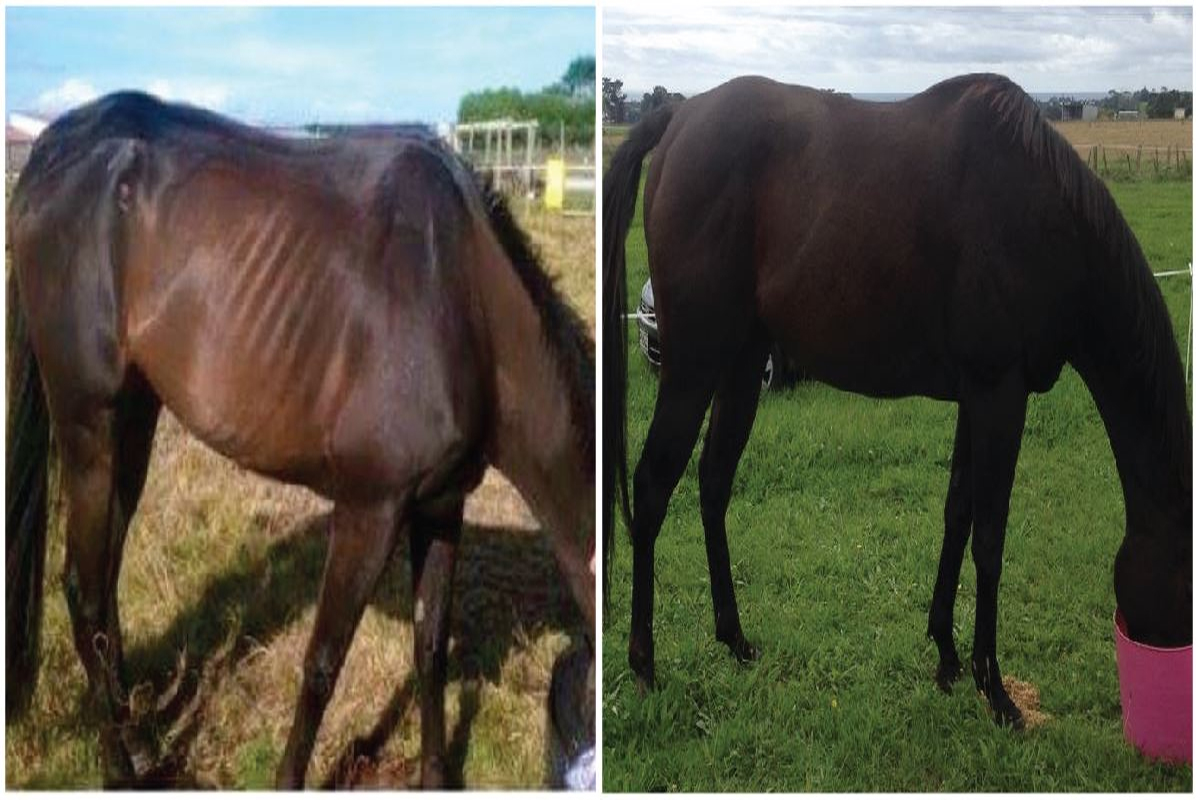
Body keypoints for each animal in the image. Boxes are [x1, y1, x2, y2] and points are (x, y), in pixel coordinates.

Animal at [7, 91, 594, 788]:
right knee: (83, 588)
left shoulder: (442, 505)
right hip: (88, 426)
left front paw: (434, 776)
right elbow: (321, 665)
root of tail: (50, 152)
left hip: (133, 421)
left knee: (106, 578)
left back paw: (141, 744)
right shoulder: (370, 510)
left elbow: (429, 649)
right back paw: (120, 767)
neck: (466, 300)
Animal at [602, 74, 1190, 729]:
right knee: (652, 488)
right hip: (694, 368)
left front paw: (948, 658)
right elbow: (990, 536)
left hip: (740, 366)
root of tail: (681, 117)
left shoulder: (977, 398)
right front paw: (995, 689)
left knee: (713, 482)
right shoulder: (1000, 395)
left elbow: (957, 514)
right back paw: (645, 664)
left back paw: (734, 639)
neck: (1046, 219)